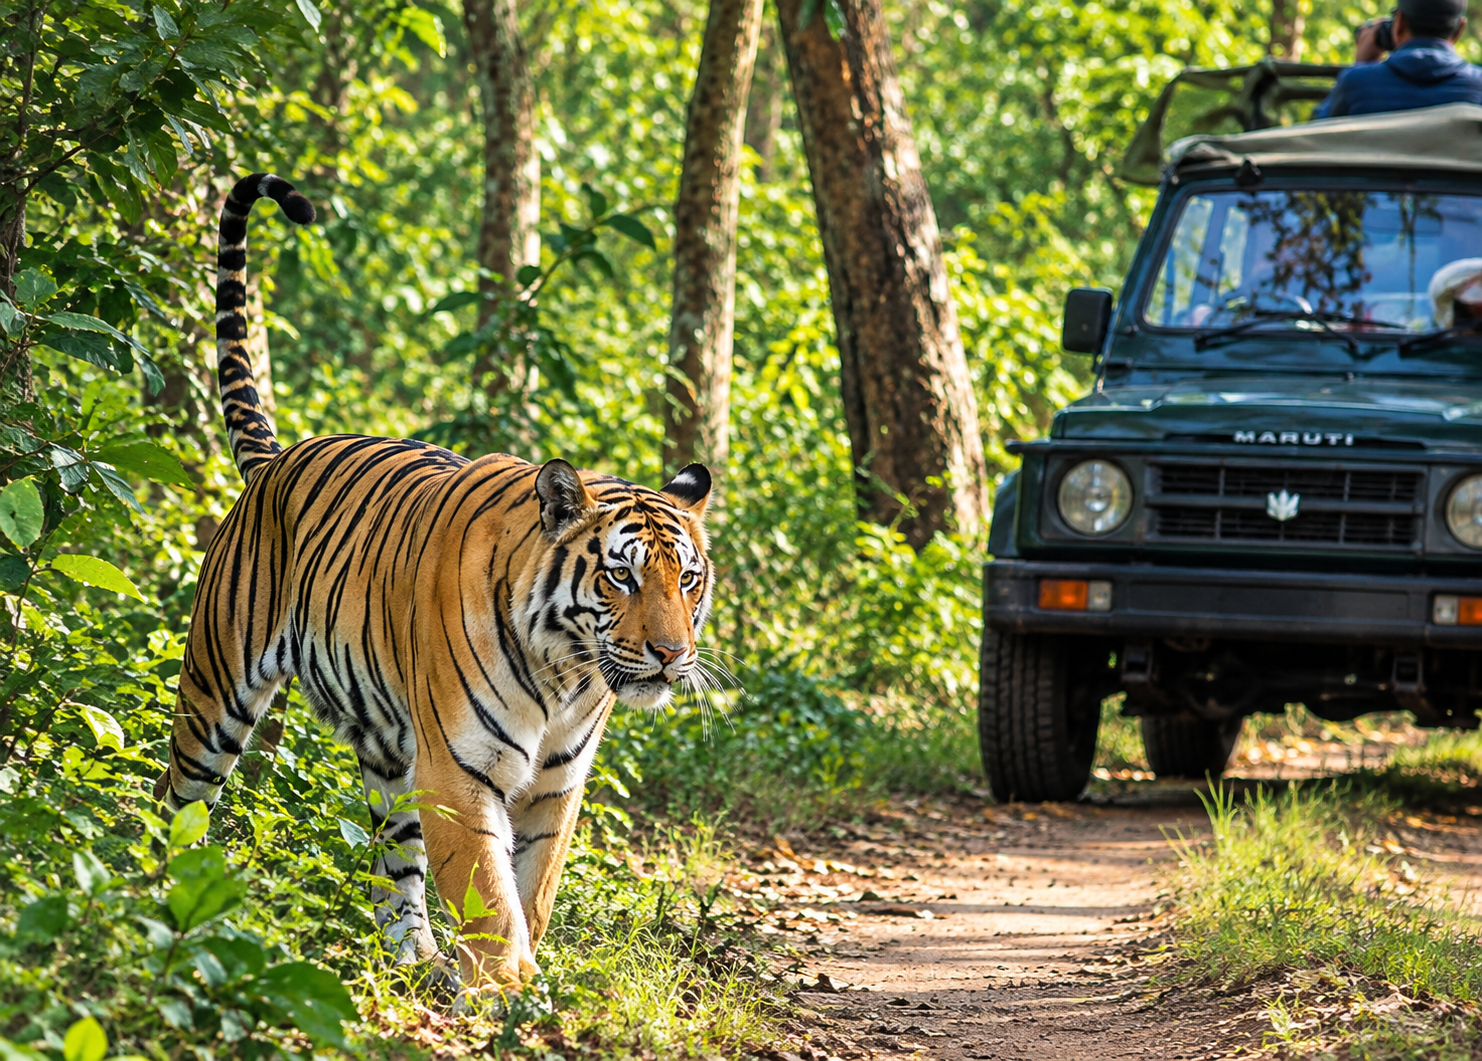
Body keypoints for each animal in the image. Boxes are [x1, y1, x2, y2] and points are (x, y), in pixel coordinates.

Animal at [153, 173, 715, 992]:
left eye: (689, 581)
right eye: (621, 575)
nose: (673, 655)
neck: (568, 670)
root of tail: (277, 458)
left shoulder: (556, 782)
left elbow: (533, 887)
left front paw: (521, 980)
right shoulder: (460, 769)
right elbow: (489, 892)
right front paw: (511, 989)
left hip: (388, 751)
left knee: (395, 866)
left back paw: (416, 961)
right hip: (214, 695)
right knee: (176, 799)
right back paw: (161, 897)